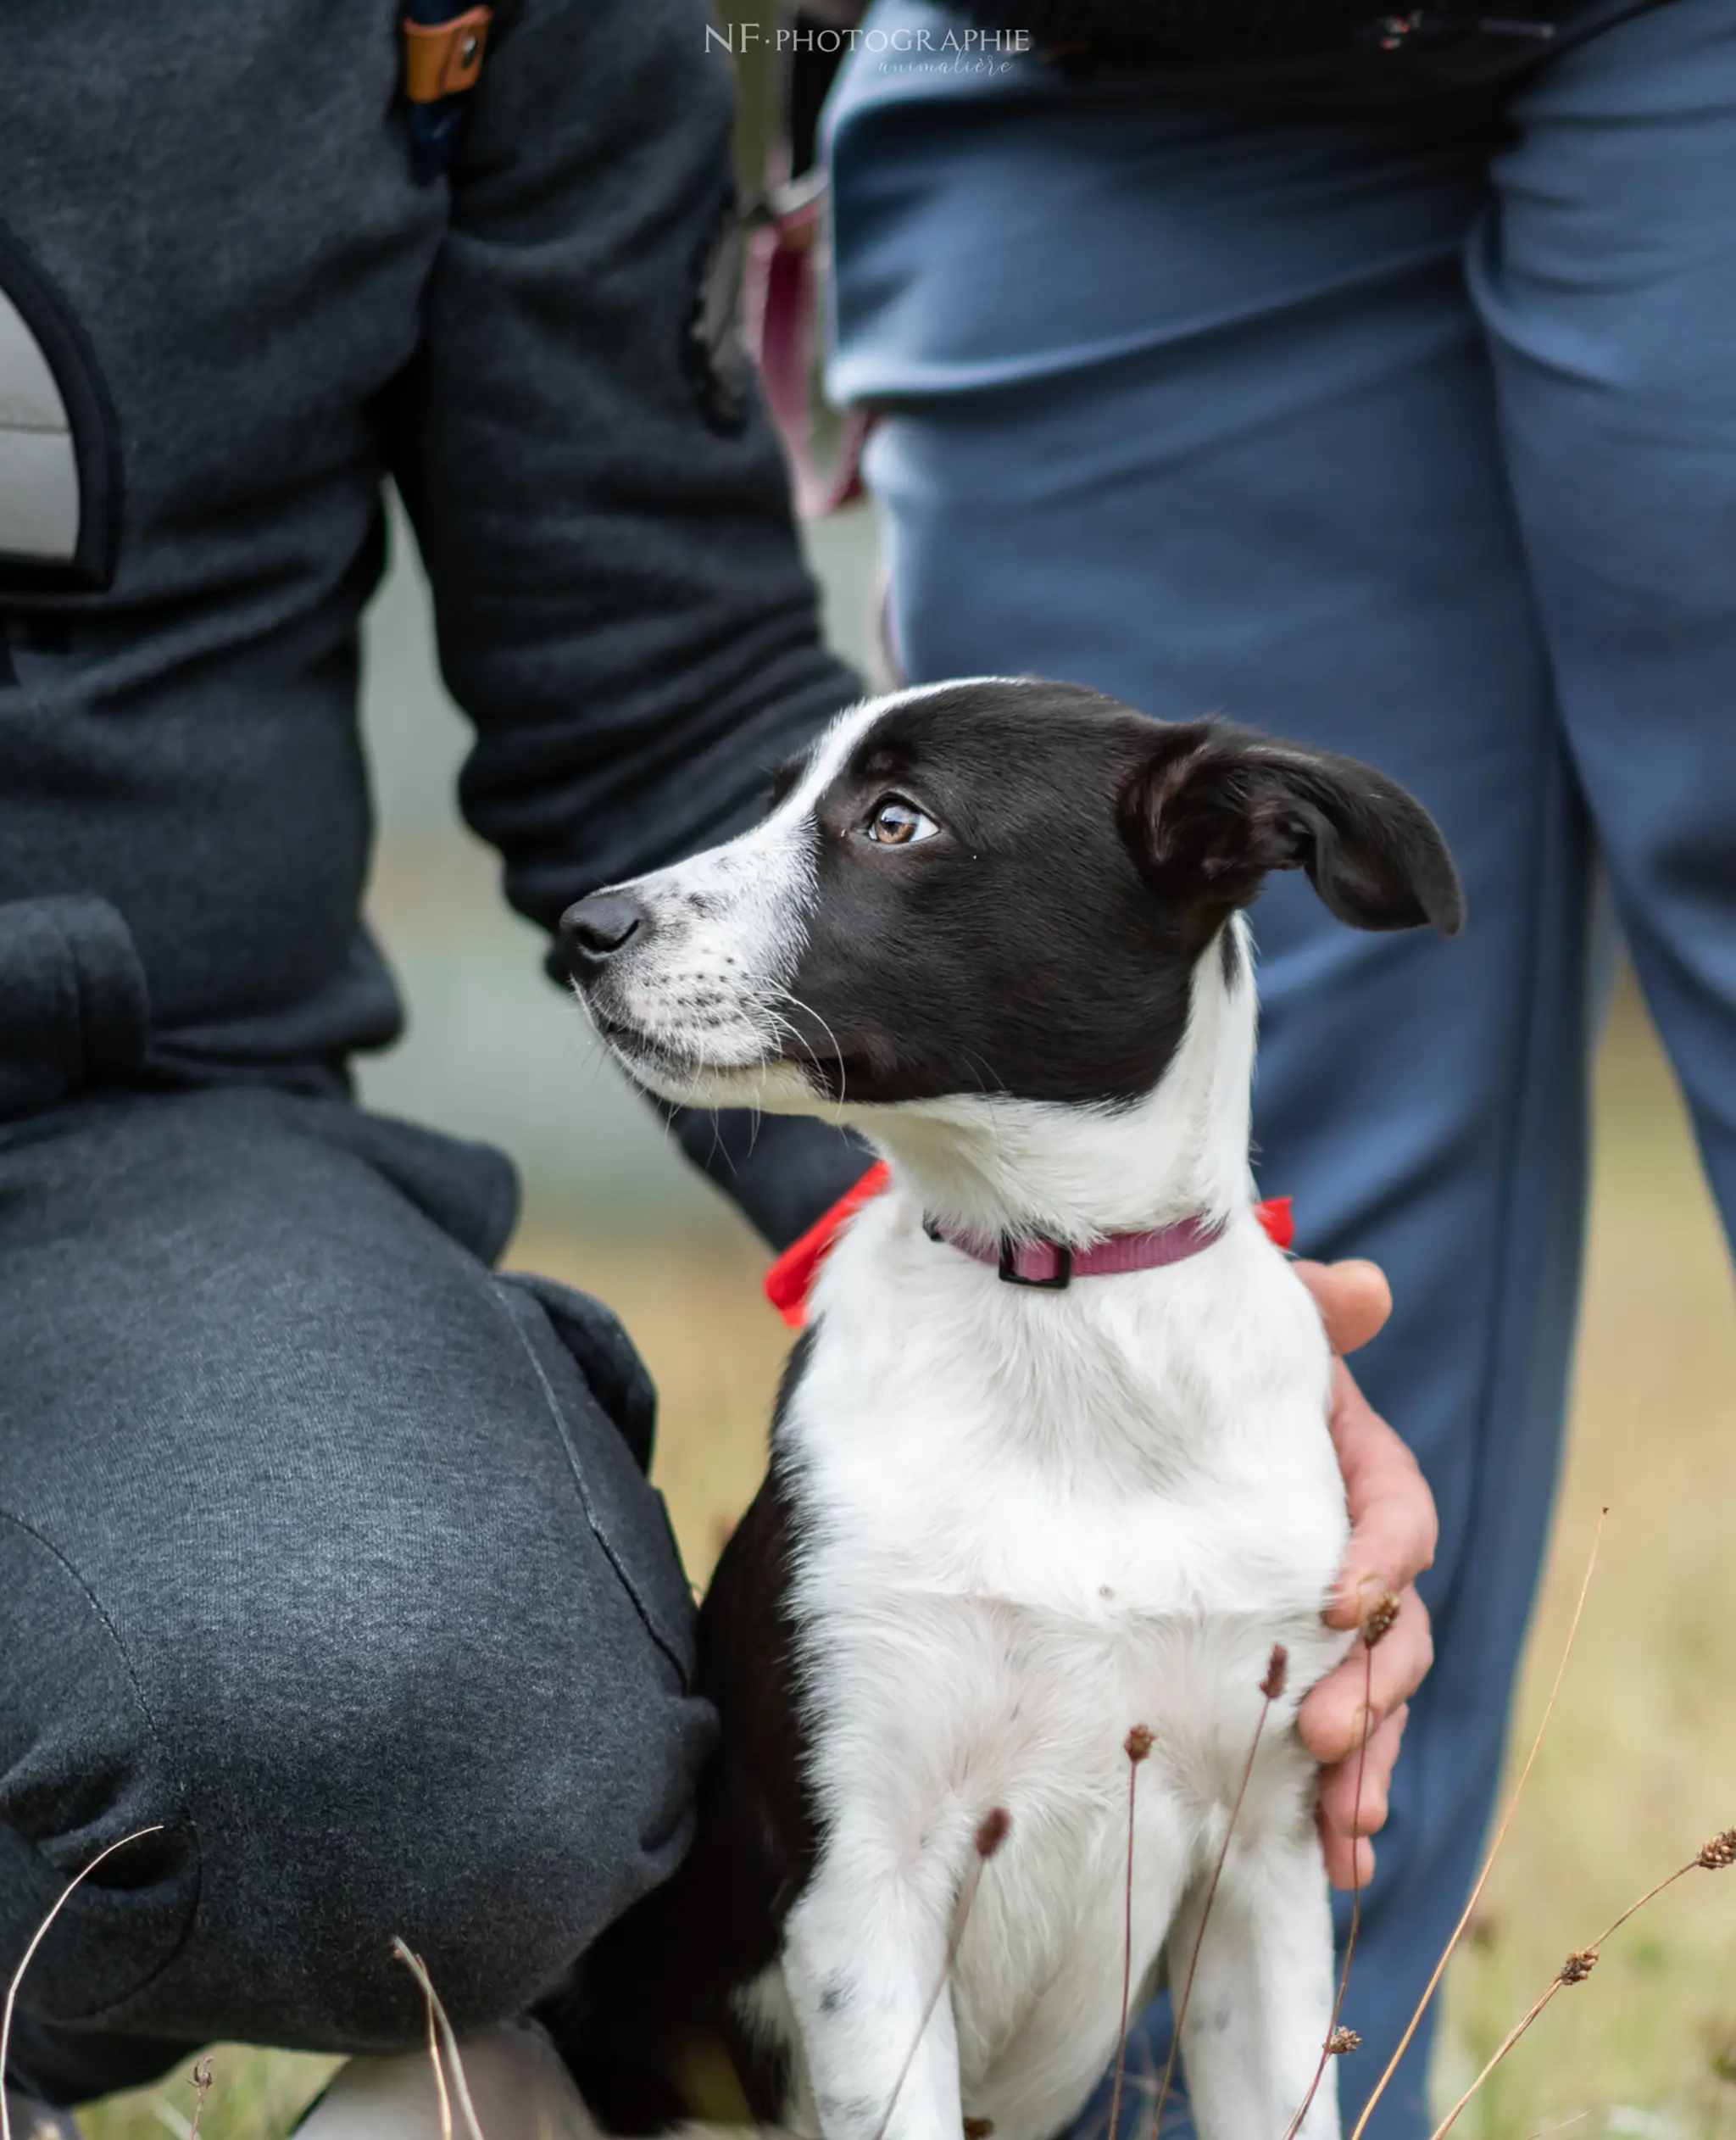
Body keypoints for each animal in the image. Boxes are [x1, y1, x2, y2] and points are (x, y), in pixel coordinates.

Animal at [548, 680, 1455, 2140]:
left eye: (895, 820)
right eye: (774, 799)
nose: (584, 931)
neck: (1055, 1301)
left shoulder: (1262, 1873)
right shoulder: (861, 1885)